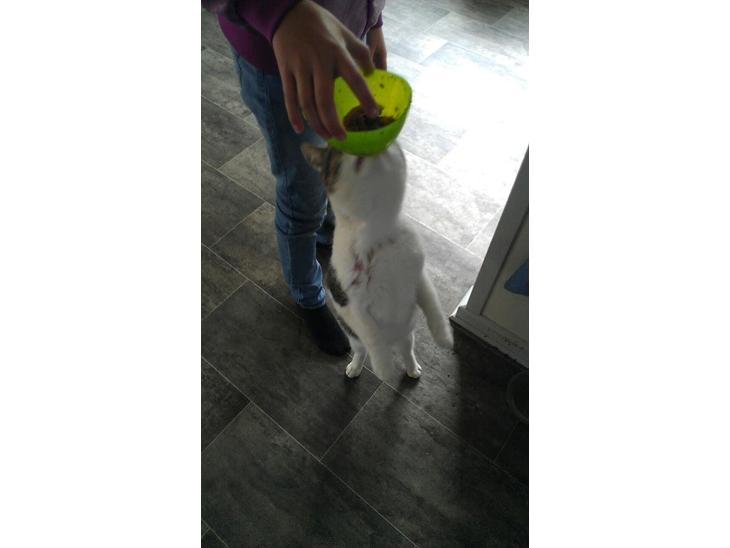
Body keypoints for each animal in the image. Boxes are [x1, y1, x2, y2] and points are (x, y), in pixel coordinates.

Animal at [301, 141, 454, 380]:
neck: (377, 227)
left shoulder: (419, 277)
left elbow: (433, 305)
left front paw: (443, 335)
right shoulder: (352, 302)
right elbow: (372, 335)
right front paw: (384, 368)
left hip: (407, 334)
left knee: (407, 351)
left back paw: (412, 368)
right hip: (354, 337)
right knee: (362, 350)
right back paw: (356, 367)